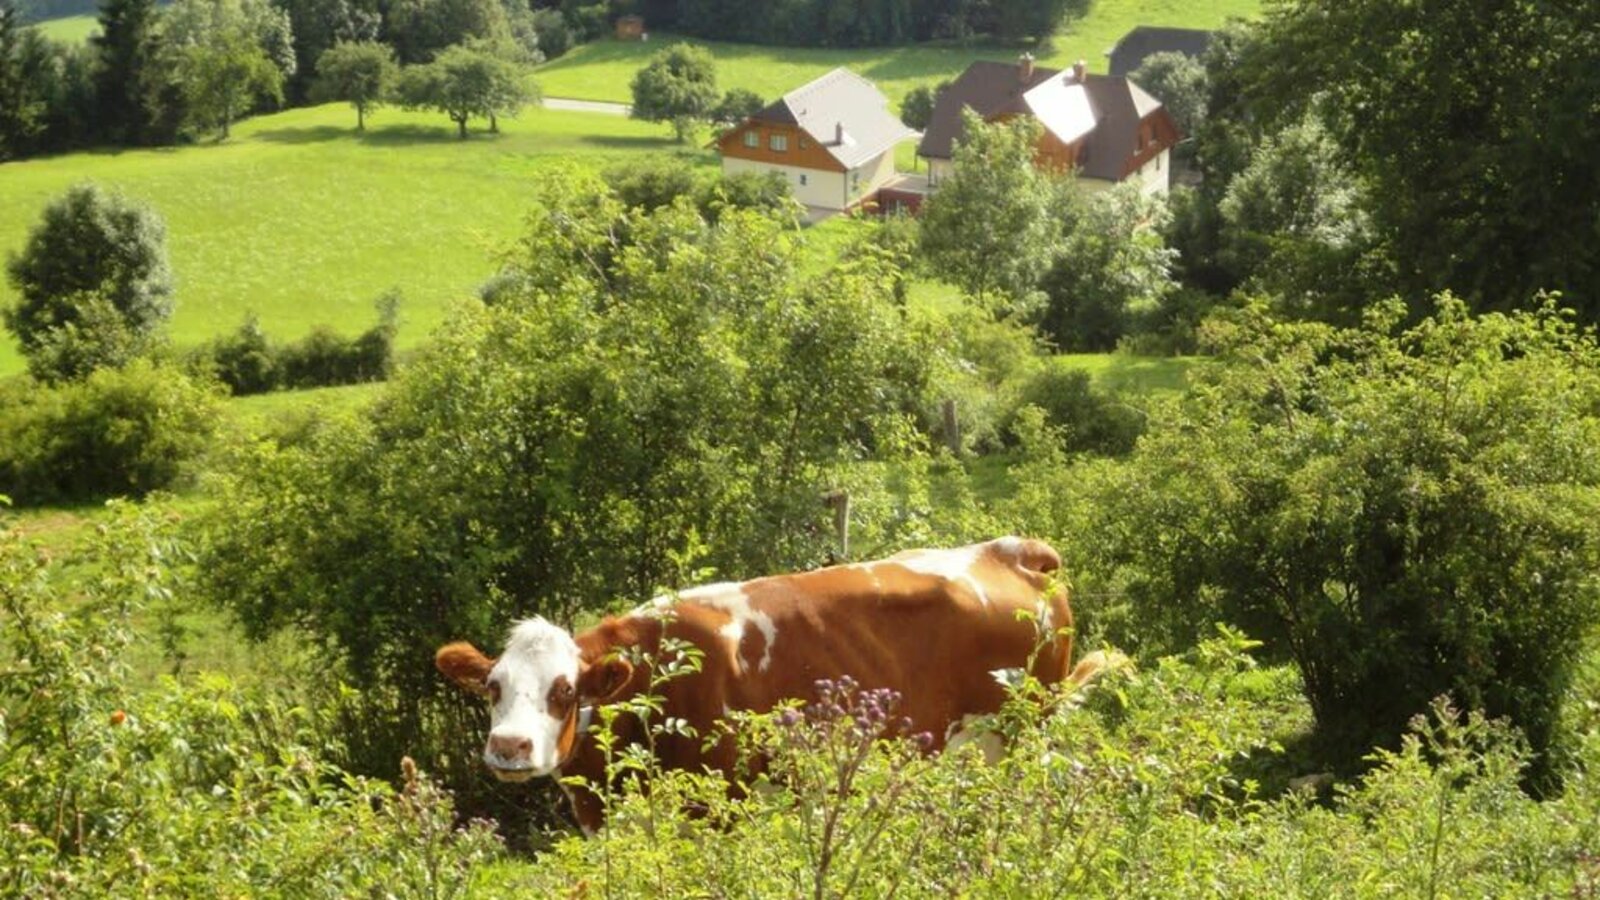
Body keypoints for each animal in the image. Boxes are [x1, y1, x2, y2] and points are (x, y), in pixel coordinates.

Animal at [432, 531, 1094, 832]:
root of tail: (1011, 550)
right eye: (492, 687)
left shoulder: (721, 809)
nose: (510, 747)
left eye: (565, 690)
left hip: (1022, 739)